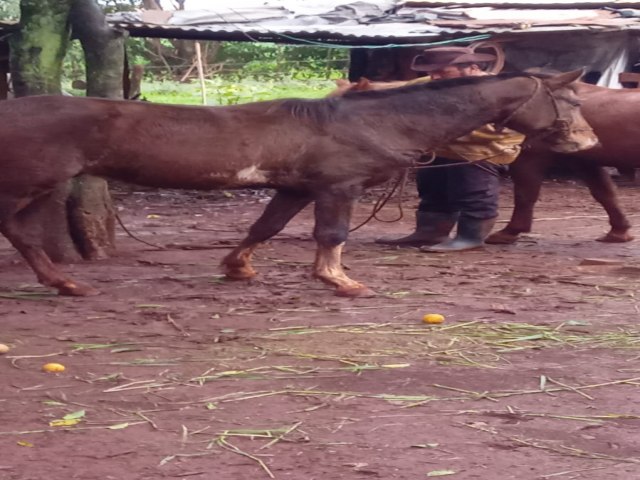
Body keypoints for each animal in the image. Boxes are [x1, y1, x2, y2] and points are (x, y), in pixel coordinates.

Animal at [2, 70, 596, 296]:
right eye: (568, 99)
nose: (587, 144)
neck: (374, 120)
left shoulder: (296, 187)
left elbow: (263, 228)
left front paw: (237, 268)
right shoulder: (339, 187)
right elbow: (331, 236)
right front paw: (339, 280)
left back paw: (63, 282)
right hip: (29, 184)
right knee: (18, 231)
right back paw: (61, 281)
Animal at [484, 81, 640, 244]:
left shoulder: (530, 156)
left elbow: (524, 194)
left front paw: (510, 231)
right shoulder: (582, 160)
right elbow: (605, 193)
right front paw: (618, 232)